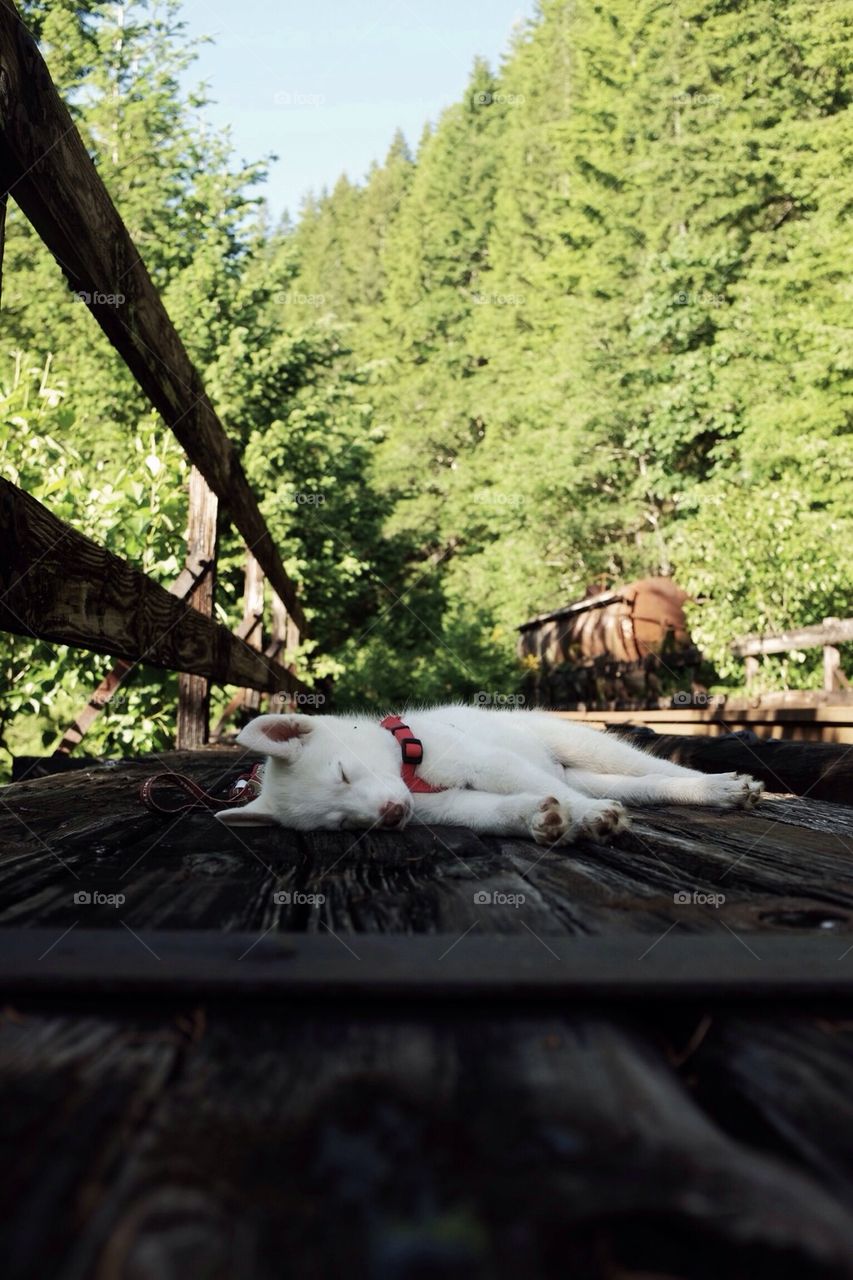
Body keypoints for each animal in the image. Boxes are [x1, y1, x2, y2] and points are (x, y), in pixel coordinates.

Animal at [212, 706, 758, 844]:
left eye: (344, 773)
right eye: (343, 824)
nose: (391, 814)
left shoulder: (484, 761)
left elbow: (530, 783)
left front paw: (589, 817)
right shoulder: (442, 805)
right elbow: (493, 811)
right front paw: (544, 819)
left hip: (579, 744)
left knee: (652, 767)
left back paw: (721, 786)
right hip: (586, 772)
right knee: (638, 785)